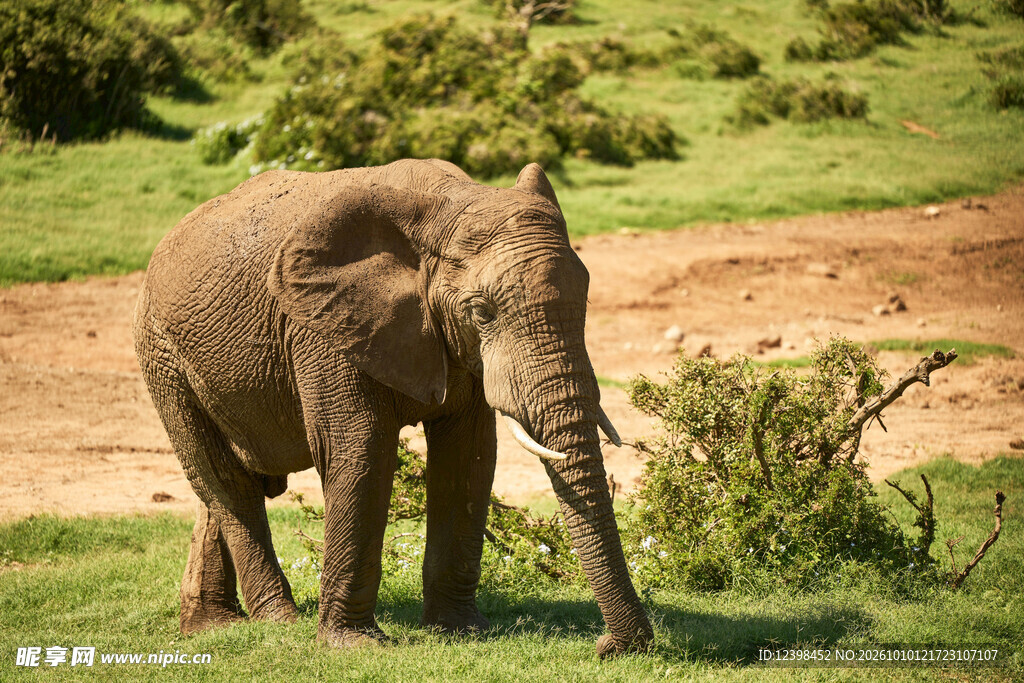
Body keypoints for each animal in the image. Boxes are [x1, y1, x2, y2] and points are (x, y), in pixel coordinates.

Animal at [132, 158, 654, 656]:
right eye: (482, 312)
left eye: (585, 301)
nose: (607, 646)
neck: (449, 202)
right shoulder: (323, 331)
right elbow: (359, 449)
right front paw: (352, 644)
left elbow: (470, 456)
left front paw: (460, 630)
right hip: (163, 357)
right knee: (227, 482)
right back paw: (279, 620)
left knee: (221, 488)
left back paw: (211, 627)